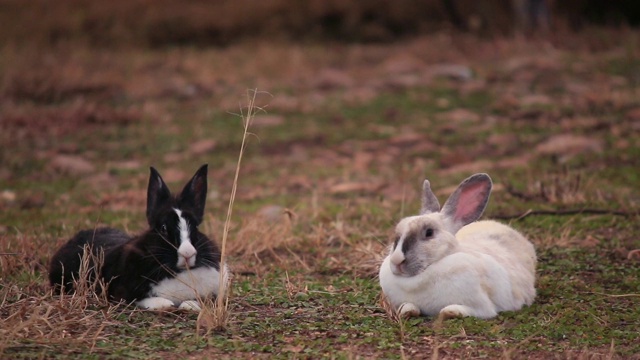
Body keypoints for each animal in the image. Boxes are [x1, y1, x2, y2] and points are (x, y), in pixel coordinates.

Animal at [48, 165, 228, 310]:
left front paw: (190, 305)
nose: (188, 253)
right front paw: (165, 304)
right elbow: (142, 300)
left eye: (195, 227)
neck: (177, 271)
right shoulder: (121, 292)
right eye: (163, 228)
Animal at [380, 174, 536, 318]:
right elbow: (407, 305)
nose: (396, 260)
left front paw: (450, 311)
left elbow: (467, 310)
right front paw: (407, 311)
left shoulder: (483, 307)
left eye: (429, 233)